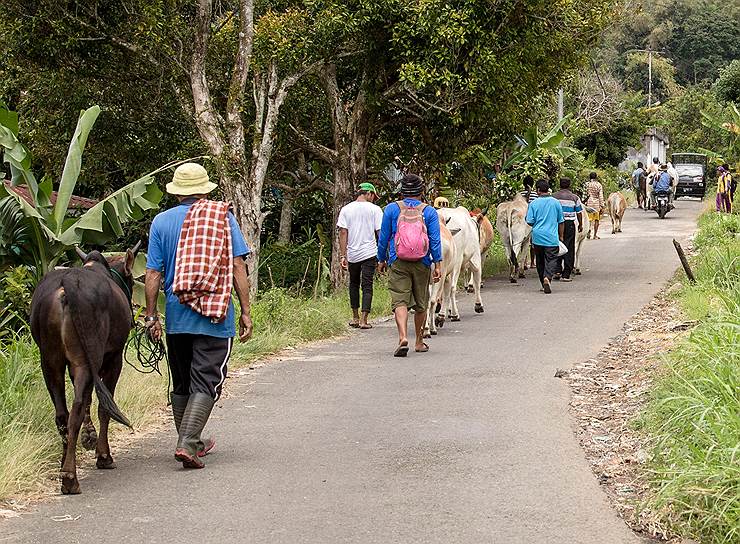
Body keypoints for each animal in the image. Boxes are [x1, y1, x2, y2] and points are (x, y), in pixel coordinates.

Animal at [30, 243, 141, 492]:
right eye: (130, 280)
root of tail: (68, 282)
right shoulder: (113, 357)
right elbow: (103, 407)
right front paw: (103, 455)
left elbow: (91, 399)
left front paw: (89, 436)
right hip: (87, 359)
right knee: (78, 408)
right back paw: (70, 478)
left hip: (50, 361)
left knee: (63, 413)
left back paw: (64, 465)